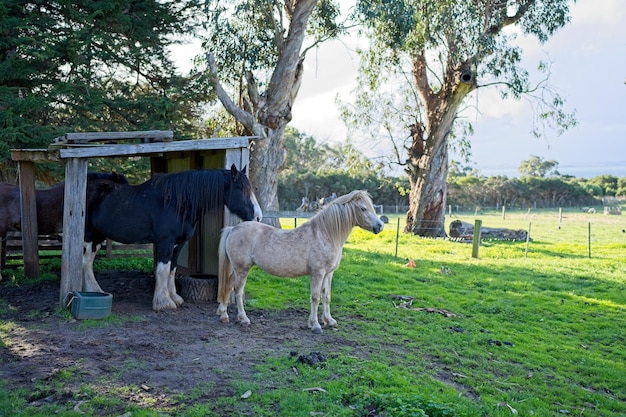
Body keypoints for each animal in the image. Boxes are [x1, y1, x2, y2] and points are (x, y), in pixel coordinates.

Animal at [83, 164, 260, 310]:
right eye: (240, 188)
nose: (258, 217)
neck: (177, 203)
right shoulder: (165, 242)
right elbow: (162, 270)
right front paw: (163, 302)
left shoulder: (178, 244)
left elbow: (172, 269)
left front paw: (174, 297)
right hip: (88, 236)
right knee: (85, 262)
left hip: (98, 237)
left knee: (89, 262)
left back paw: (95, 290)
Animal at [217, 190, 382, 334]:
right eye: (363, 208)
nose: (380, 226)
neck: (325, 234)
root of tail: (233, 229)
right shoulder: (317, 273)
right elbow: (315, 297)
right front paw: (315, 325)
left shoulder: (328, 273)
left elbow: (326, 296)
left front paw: (329, 321)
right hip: (242, 269)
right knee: (238, 290)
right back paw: (243, 319)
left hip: (237, 269)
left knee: (228, 285)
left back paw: (224, 315)